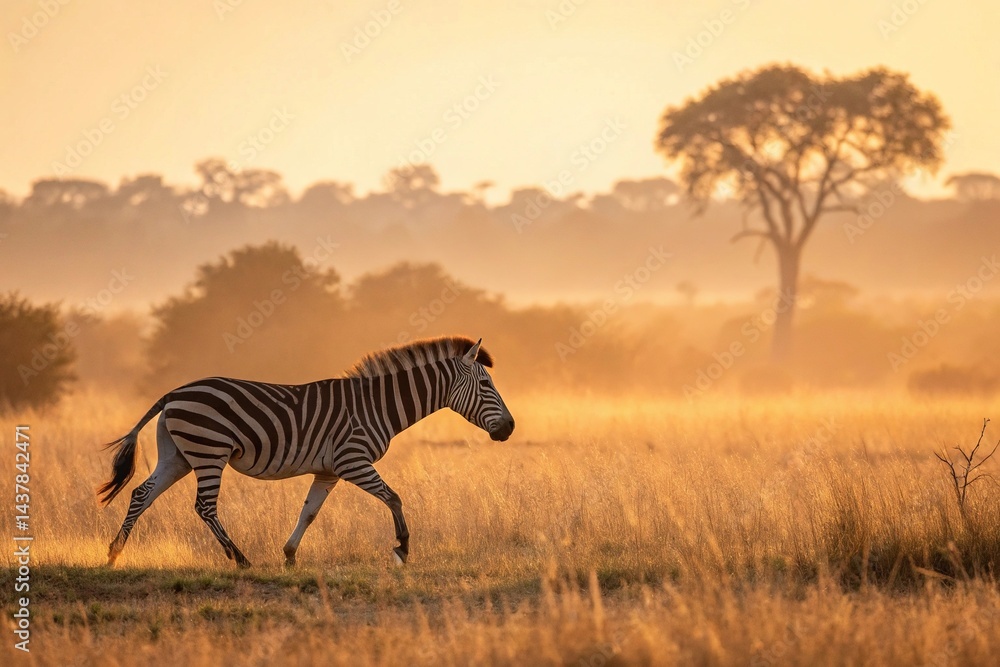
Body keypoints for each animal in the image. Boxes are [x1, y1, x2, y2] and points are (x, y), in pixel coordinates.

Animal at [98, 336, 514, 568]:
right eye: (486, 385)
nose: (509, 429)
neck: (378, 406)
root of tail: (172, 394)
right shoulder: (353, 460)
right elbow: (394, 497)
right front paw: (403, 548)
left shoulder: (329, 471)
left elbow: (310, 512)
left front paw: (290, 555)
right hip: (209, 451)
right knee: (204, 506)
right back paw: (241, 559)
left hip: (179, 455)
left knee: (141, 493)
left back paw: (114, 553)